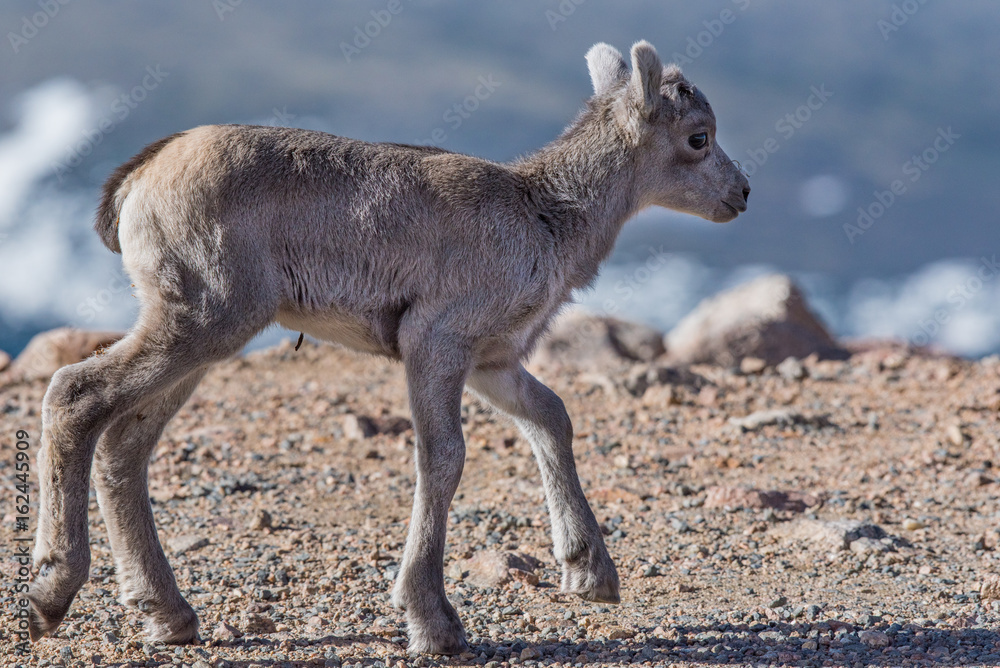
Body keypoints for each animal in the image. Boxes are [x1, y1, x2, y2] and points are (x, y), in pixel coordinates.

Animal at [28, 40, 749, 654]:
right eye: (699, 137)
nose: (741, 195)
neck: (545, 217)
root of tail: (139, 180)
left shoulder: (493, 363)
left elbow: (552, 419)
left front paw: (590, 576)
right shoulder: (435, 342)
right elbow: (444, 459)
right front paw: (434, 624)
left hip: (197, 338)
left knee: (125, 444)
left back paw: (169, 617)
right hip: (202, 320)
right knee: (75, 394)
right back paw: (50, 598)